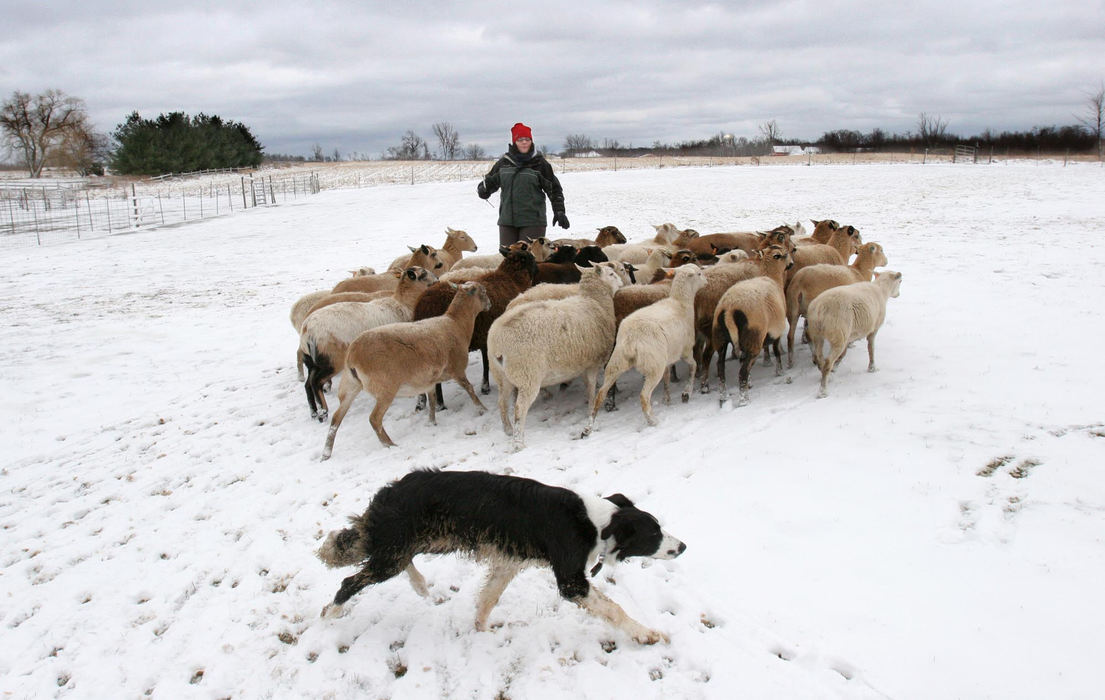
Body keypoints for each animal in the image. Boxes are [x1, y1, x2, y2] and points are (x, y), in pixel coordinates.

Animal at [488, 260, 627, 446]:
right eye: (612, 274)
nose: (622, 284)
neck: (594, 301)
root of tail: (498, 344)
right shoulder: (592, 363)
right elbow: (592, 390)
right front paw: (591, 409)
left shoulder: (583, 364)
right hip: (527, 375)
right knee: (519, 408)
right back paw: (518, 442)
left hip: (503, 377)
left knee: (502, 403)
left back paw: (508, 430)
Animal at [583, 264, 702, 433]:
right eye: (699, 273)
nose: (706, 281)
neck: (680, 303)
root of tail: (632, 338)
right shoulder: (685, 351)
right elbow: (693, 366)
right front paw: (687, 392)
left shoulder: (666, 359)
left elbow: (667, 378)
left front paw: (667, 400)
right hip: (653, 366)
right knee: (644, 396)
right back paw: (652, 421)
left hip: (617, 362)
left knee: (601, 393)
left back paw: (588, 427)